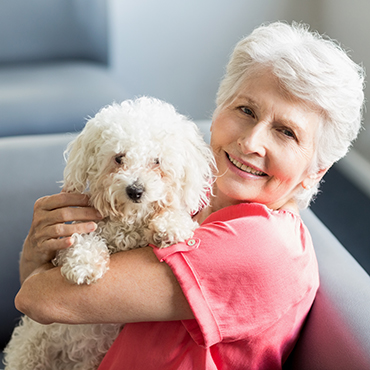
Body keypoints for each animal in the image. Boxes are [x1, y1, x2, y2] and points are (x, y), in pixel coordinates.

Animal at [3, 97, 214, 370]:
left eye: (157, 161)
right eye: (118, 158)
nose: (135, 190)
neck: (128, 222)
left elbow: (172, 214)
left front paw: (171, 226)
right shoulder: (76, 231)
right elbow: (83, 241)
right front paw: (84, 264)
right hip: (31, 348)